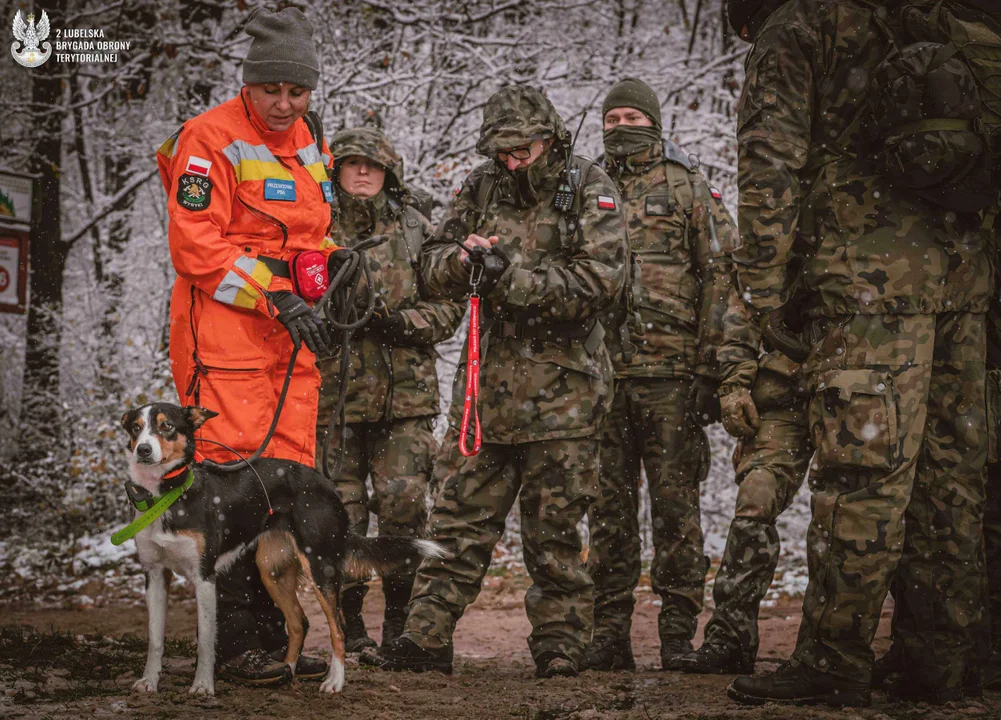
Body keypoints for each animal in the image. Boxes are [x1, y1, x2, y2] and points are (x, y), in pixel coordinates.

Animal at [120, 402, 442, 696]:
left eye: (167, 426)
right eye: (136, 428)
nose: (143, 450)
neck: (166, 494)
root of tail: (328, 485)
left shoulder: (205, 576)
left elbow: (206, 641)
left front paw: (202, 686)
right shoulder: (155, 576)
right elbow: (155, 639)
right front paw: (149, 682)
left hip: (320, 564)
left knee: (337, 626)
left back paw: (334, 681)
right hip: (271, 570)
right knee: (299, 622)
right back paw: (285, 671)